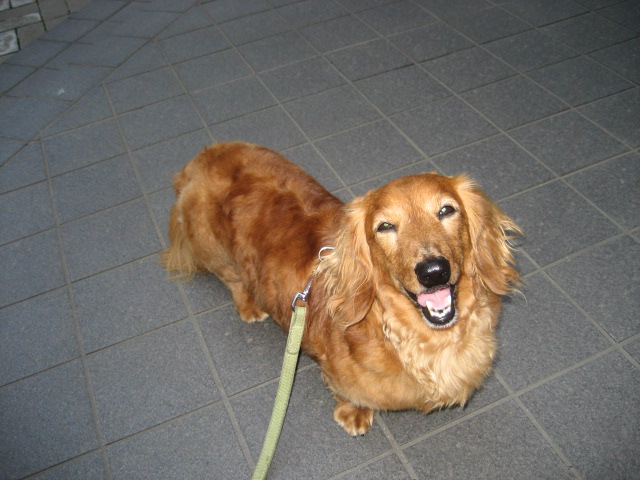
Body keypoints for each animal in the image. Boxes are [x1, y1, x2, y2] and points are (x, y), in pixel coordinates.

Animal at [161, 142, 520, 436]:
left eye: (446, 210)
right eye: (385, 226)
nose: (433, 271)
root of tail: (200, 159)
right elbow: (348, 393)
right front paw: (354, 413)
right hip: (213, 250)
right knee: (233, 280)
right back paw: (249, 305)